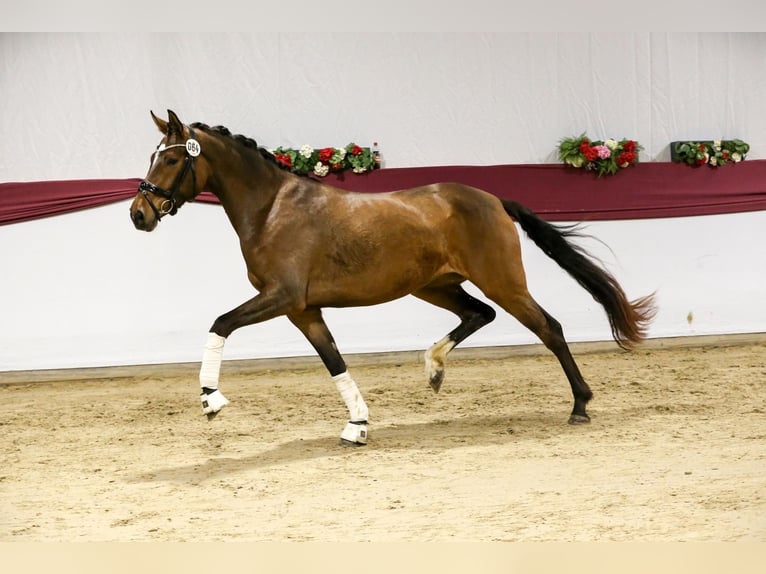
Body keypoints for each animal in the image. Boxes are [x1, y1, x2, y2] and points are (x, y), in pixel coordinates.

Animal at [129, 110, 656, 448]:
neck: (272, 208)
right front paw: (357, 426)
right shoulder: (304, 309)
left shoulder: (281, 297)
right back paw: (434, 368)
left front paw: (211, 399)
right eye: (153, 157)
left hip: (502, 282)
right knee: (479, 314)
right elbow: (334, 362)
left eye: (171, 159)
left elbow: (221, 322)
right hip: (435, 285)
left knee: (549, 328)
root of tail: (492, 199)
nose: (139, 214)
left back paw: (580, 405)